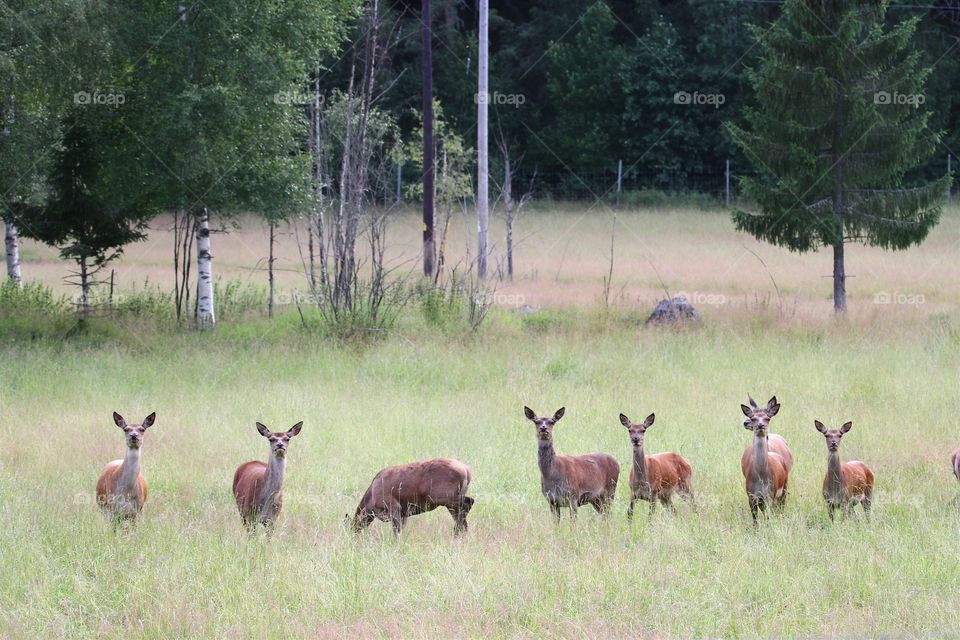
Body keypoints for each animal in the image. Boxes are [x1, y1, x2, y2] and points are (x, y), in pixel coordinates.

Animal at [740, 396, 792, 524]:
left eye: (767, 418)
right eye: (753, 417)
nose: (760, 425)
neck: (761, 477)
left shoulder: (770, 494)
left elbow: (768, 518)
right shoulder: (751, 495)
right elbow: (755, 521)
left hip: (784, 487)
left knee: (781, 507)